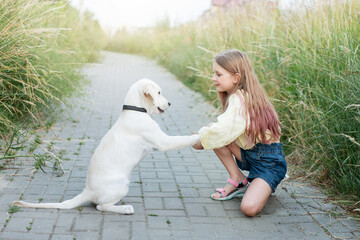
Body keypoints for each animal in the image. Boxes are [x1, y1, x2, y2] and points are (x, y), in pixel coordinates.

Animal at [12, 78, 200, 214]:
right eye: (159, 92)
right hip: (122, 185)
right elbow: (181, 140)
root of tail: (87, 191)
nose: (169, 104)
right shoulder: (162, 142)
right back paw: (125, 209)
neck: (136, 110)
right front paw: (199, 136)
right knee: (101, 206)